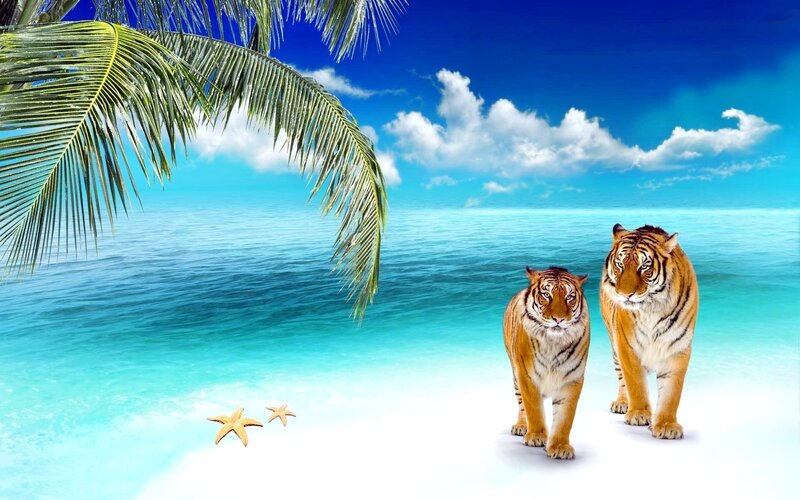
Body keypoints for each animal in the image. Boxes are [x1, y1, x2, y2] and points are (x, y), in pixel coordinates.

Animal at [503, 266, 590, 460]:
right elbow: (533, 408)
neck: (553, 343)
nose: (559, 319)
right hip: (515, 375)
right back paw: (522, 427)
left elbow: (565, 417)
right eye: (546, 295)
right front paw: (536, 437)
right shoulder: (527, 376)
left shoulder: (572, 379)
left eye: (569, 297)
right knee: (521, 404)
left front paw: (560, 447)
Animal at [600, 224, 699, 440]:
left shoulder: (677, 348)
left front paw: (667, 425)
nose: (625, 295)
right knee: (622, 378)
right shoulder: (627, 346)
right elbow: (635, 382)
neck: (653, 308)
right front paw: (639, 414)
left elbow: (671, 392)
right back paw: (622, 404)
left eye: (644, 266)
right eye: (620, 264)